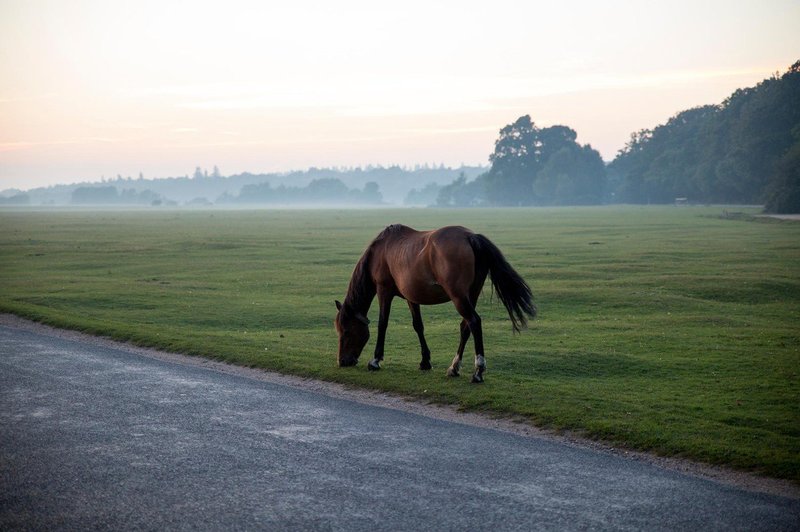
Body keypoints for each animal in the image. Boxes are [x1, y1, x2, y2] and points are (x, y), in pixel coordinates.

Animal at [334, 224, 536, 382]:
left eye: (346, 331)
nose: (342, 361)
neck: (380, 251)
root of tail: (470, 237)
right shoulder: (411, 297)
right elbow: (418, 326)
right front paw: (425, 361)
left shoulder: (384, 291)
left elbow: (382, 324)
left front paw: (375, 360)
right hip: (471, 294)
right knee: (465, 326)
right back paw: (454, 367)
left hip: (458, 296)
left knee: (474, 322)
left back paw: (478, 371)